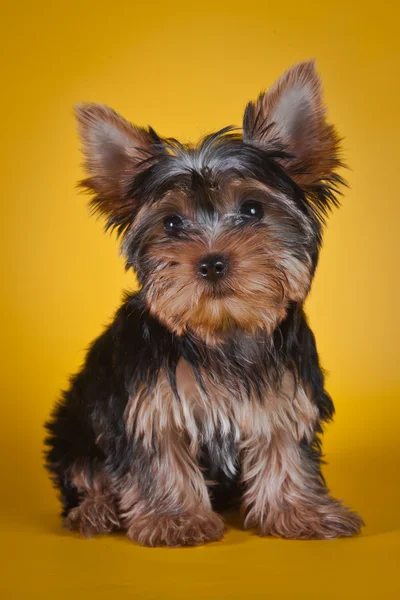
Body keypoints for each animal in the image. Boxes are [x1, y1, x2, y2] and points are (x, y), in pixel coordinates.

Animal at [45, 62, 364, 548]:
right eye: (172, 223)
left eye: (252, 210)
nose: (212, 262)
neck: (221, 330)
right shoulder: (148, 405)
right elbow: (159, 457)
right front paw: (175, 519)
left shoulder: (284, 393)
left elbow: (285, 449)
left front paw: (299, 512)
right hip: (73, 426)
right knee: (85, 471)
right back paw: (95, 511)